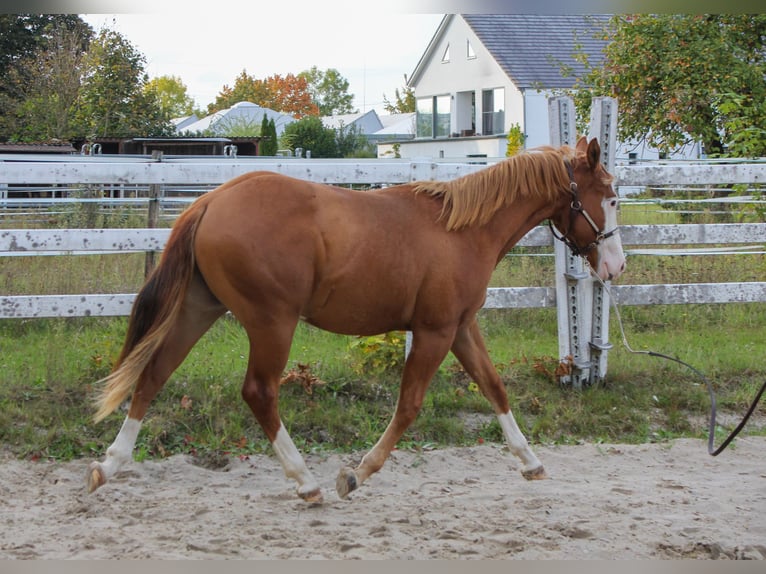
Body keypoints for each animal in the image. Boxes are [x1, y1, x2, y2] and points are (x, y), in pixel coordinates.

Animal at [87, 136, 625, 503]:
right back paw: (306, 482)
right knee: (259, 392)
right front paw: (355, 474)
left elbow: (494, 387)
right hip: (272, 321)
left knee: (154, 374)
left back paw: (109, 465)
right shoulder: (434, 332)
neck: (463, 229)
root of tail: (210, 200)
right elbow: (409, 406)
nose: (616, 267)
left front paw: (531, 461)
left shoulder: (460, 327)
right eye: (611, 196)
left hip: (201, 308)